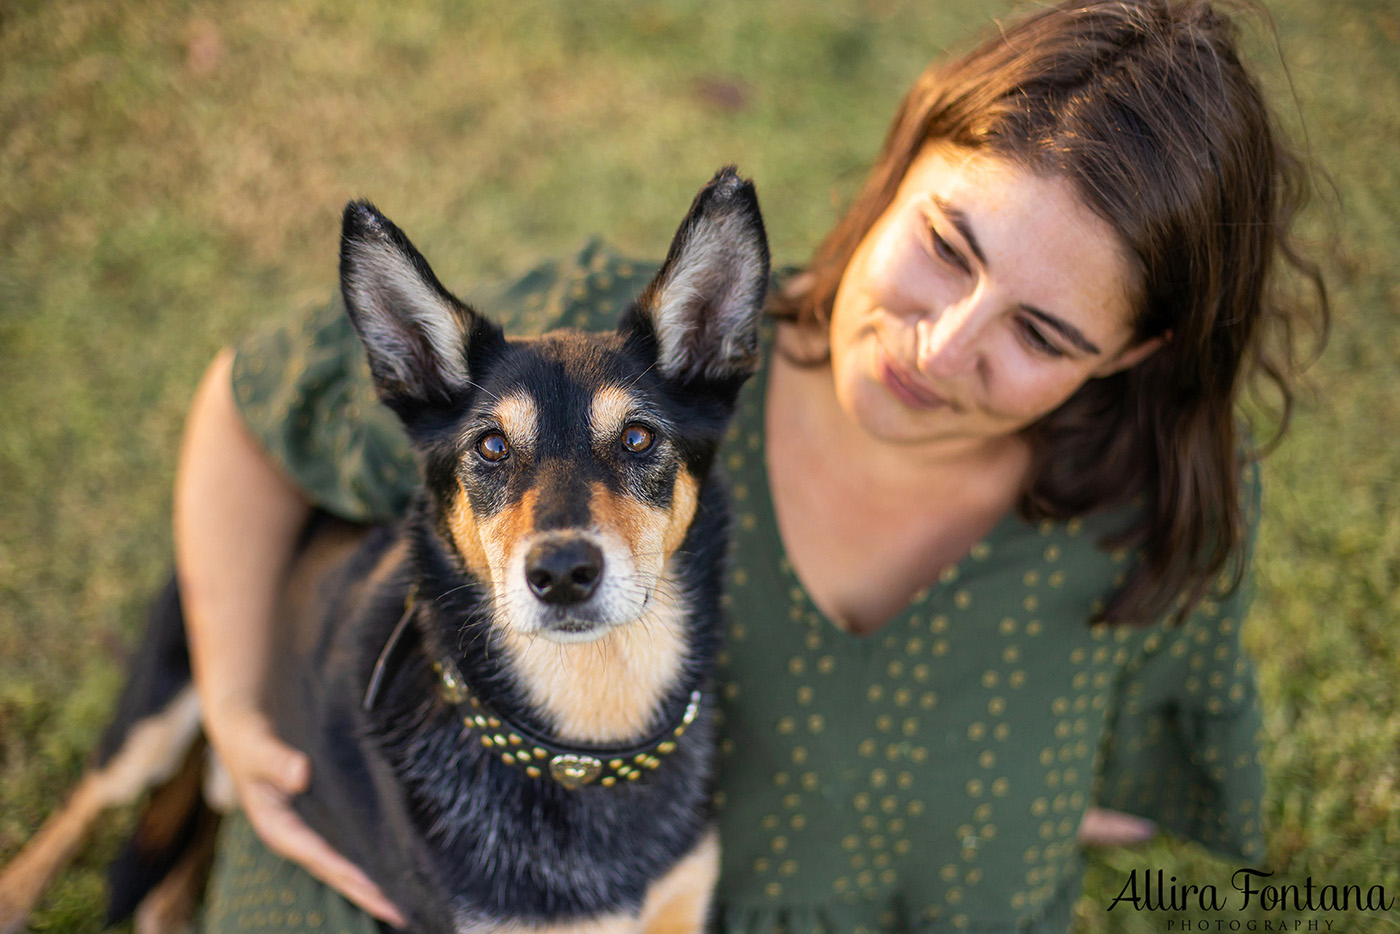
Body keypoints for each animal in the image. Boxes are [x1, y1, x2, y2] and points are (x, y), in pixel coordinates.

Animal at [0, 170, 772, 934]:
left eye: (639, 438)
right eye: (492, 446)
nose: (560, 575)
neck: (583, 741)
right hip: (154, 718)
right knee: (82, 805)